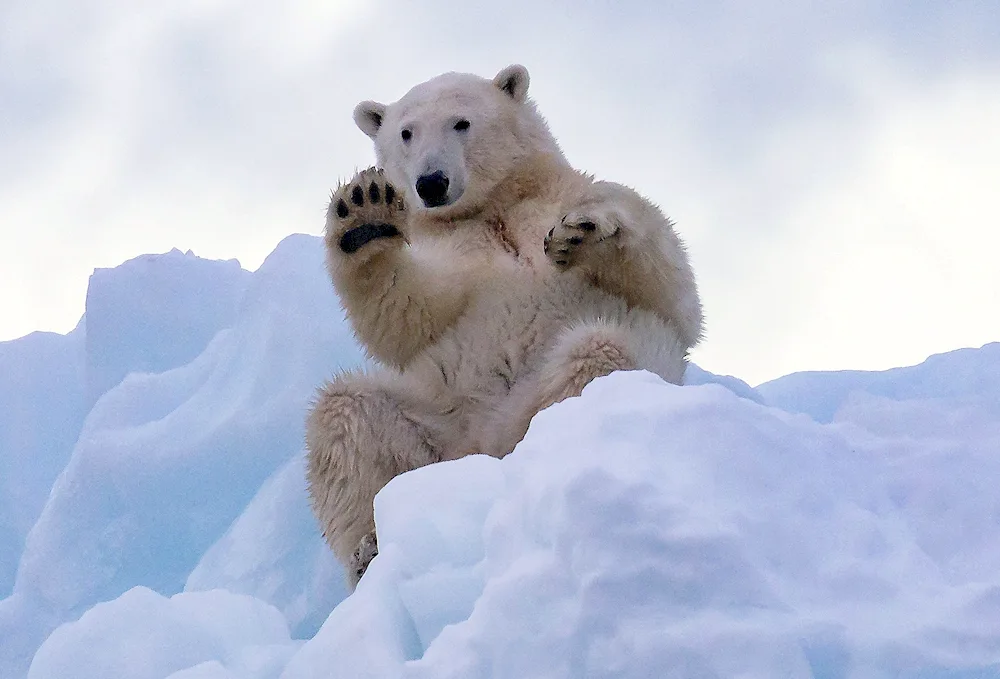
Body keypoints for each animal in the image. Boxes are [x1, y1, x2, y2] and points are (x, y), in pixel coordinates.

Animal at [306, 65, 704, 584]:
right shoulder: (455, 255)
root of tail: (486, 449)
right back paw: (368, 549)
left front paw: (585, 229)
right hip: (439, 426)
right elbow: (411, 314)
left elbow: (671, 291)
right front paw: (364, 215)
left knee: (596, 354)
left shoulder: (551, 206)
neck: (494, 210)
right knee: (344, 416)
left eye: (461, 123)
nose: (431, 183)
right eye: (406, 133)